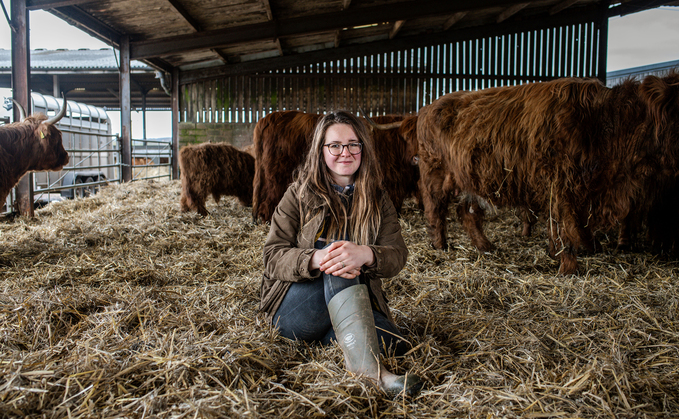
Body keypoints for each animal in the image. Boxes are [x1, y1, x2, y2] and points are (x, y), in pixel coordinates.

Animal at [420, 72, 679, 276]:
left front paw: (583, 250)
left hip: (470, 180)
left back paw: (486, 247)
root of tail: (429, 107)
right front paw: (569, 267)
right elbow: (565, 228)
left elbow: (579, 226)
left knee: (468, 213)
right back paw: (440, 245)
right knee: (435, 212)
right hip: (436, 176)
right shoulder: (561, 186)